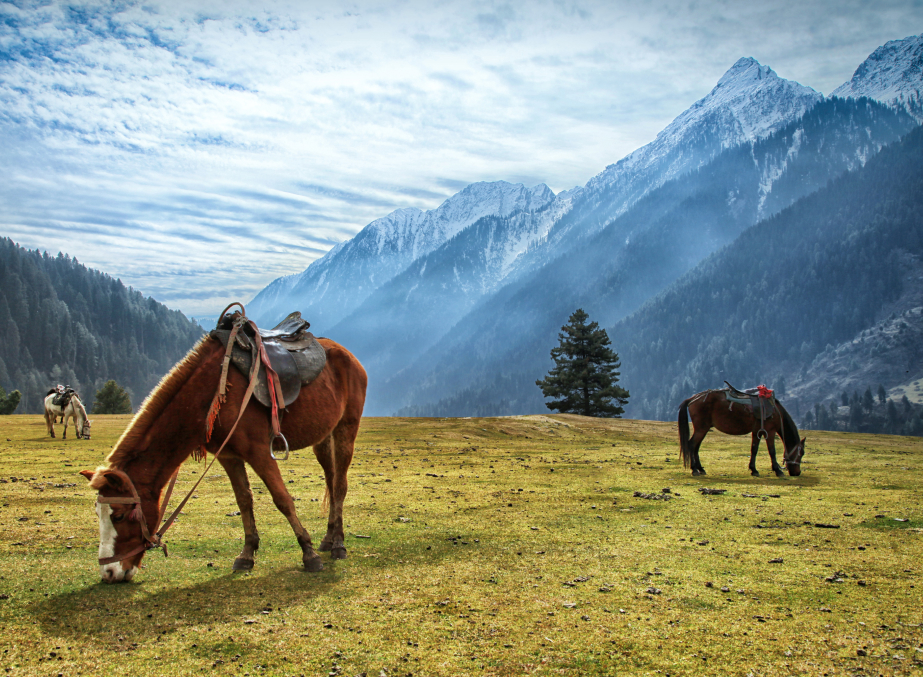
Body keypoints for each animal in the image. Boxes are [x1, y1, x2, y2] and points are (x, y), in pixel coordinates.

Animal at [80, 328, 368, 580]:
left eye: (118, 515)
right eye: (97, 513)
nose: (109, 573)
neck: (211, 391)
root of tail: (348, 355)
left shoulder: (259, 451)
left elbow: (282, 499)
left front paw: (308, 554)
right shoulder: (228, 456)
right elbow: (244, 500)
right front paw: (247, 554)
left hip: (346, 427)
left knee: (339, 486)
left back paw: (338, 545)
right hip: (323, 438)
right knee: (331, 481)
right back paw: (328, 539)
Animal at [676, 388, 804, 478]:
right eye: (801, 453)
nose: (797, 472)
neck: (776, 411)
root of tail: (693, 398)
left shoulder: (757, 432)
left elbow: (754, 449)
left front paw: (754, 470)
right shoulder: (770, 431)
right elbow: (772, 451)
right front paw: (778, 470)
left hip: (703, 429)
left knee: (696, 447)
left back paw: (701, 469)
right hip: (701, 428)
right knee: (692, 444)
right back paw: (694, 469)